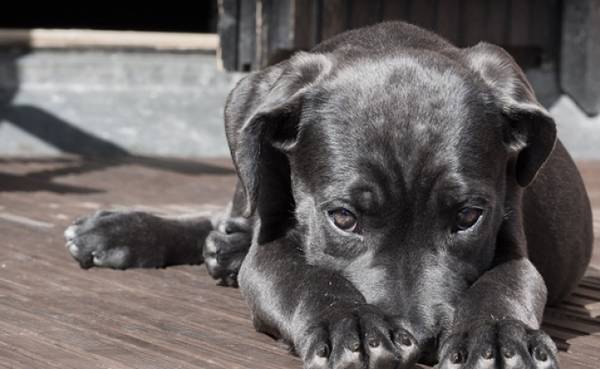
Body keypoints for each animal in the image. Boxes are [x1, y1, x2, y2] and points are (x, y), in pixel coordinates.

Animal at [64, 21, 592, 366]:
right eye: (343, 218)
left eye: (467, 217)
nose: (420, 341)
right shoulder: (272, 247)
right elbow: (305, 277)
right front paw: (351, 323)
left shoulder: (512, 236)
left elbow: (506, 282)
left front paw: (497, 336)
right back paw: (123, 231)